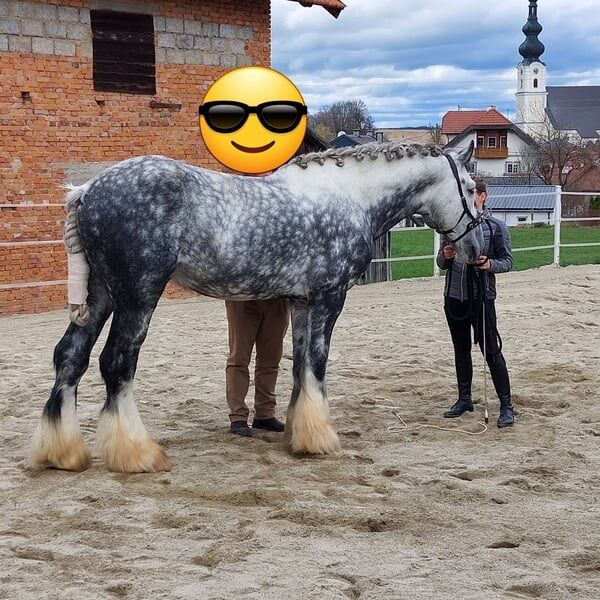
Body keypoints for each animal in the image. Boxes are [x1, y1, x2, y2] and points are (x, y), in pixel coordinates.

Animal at [31, 142, 482, 474]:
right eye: (470, 185)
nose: (476, 247)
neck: (350, 195)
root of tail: (87, 191)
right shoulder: (329, 297)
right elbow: (318, 362)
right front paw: (320, 440)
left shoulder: (301, 302)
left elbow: (300, 365)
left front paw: (299, 433)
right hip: (137, 296)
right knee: (116, 363)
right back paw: (137, 454)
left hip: (102, 293)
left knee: (70, 357)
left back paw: (63, 452)